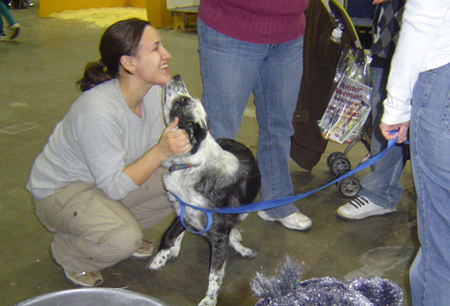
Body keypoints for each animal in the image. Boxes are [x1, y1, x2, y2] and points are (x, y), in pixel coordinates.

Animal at [149, 74, 260, 306]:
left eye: (182, 101)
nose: (176, 76)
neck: (190, 165)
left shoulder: (218, 234)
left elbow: (214, 273)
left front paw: (209, 299)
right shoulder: (183, 209)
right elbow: (168, 235)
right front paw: (159, 258)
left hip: (244, 211)